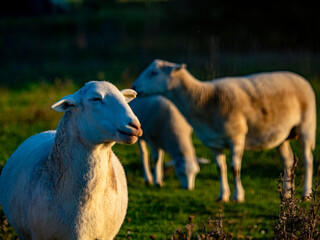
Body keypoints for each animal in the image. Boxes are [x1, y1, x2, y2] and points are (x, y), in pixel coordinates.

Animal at [131, 59, 316, 202]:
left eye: (154, 72)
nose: (134, 86)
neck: (203, 100)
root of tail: (301, 78)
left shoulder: (237, 136)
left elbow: (235, 167)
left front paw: (238, 196)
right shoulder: (214, 142)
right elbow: (220, 169)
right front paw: (223, 196)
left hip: (306, 125)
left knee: (308, 159)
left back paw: (306, 194)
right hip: (282, 135)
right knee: (288, 161)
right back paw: (287, 194)